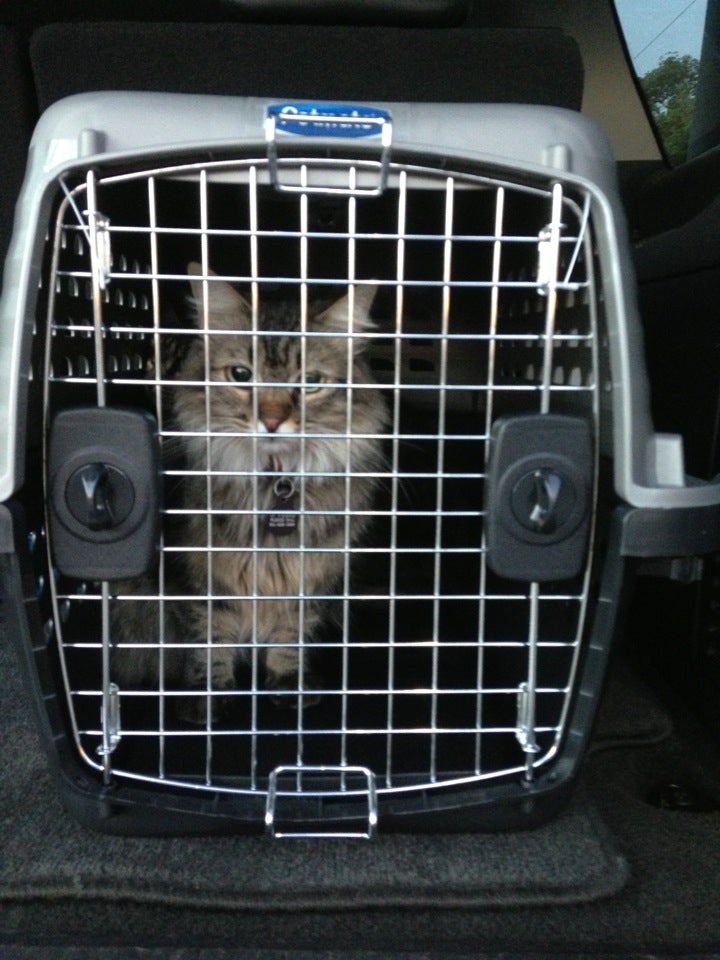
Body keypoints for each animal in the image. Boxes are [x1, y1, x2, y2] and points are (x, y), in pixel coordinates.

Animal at [111, 263, 387, 721]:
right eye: (241, 375)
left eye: (311, 383)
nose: (272, 421)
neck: (275, 482)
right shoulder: (198, 576)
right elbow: (209, 636)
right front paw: (208, 699)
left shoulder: (311, 578)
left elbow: (290, 634)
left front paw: (289, 685)